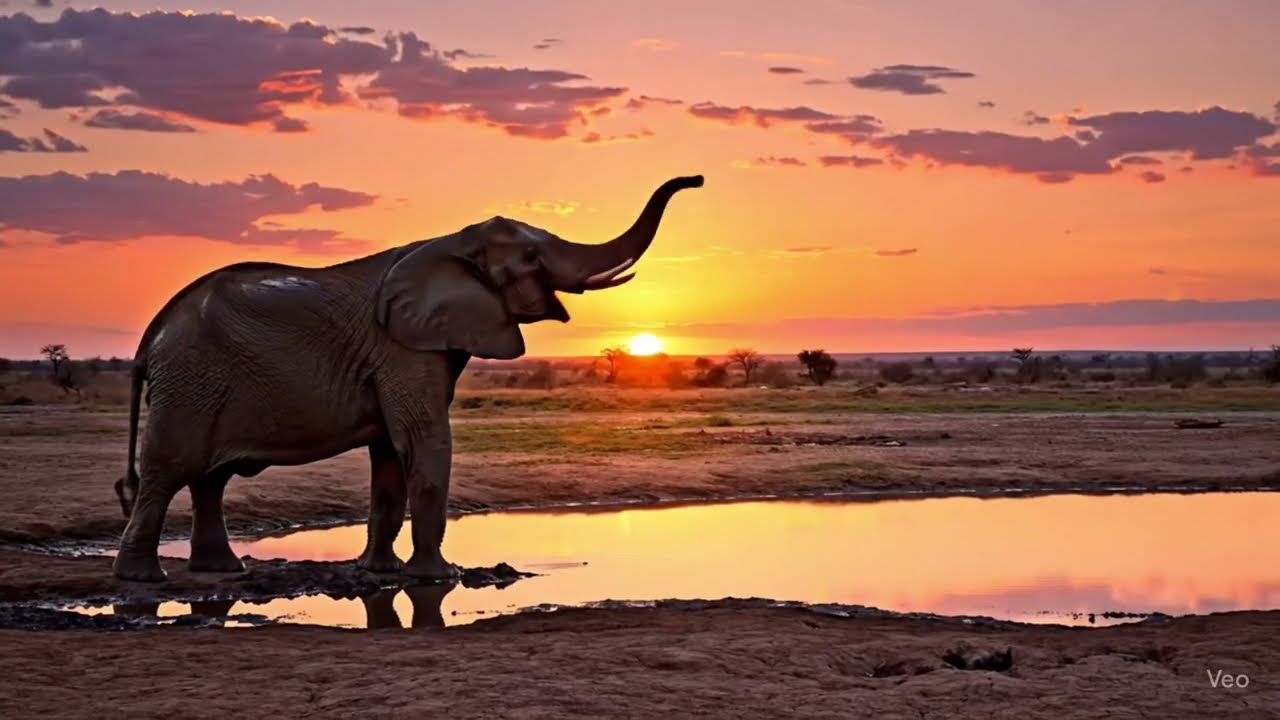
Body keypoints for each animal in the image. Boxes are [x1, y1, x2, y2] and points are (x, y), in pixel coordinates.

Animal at [110, 174, 705, 582]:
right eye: (533, 256)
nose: (696, 180)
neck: (449, 242)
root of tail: (154, 331)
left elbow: (391, 457)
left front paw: (380, 573)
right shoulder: (401, 348)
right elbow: (424, 441)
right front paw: (439, 578)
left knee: (209, 478)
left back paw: (222, 572)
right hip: (190, 377)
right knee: (169, 470)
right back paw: (143, 578)